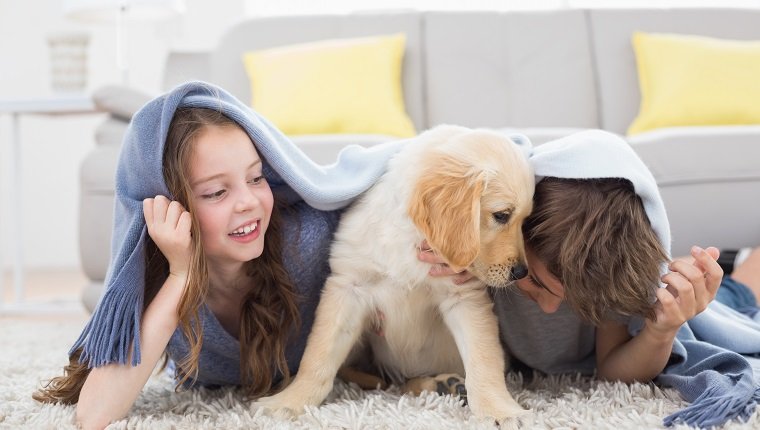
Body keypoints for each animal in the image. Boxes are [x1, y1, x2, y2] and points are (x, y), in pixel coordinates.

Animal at [255, 124, 536, 424]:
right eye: (502, 215)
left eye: (525, 220)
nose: (521, 272)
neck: (411, 239)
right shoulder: (348, 288)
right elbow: (318, 355)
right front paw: (288, 401)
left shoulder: (464, 296)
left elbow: (484, 360)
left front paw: (500, 410)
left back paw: (444, 384)